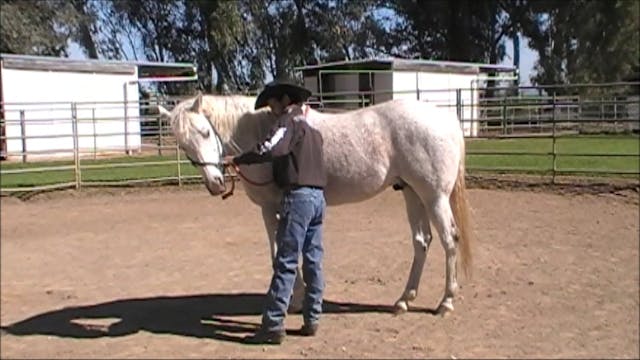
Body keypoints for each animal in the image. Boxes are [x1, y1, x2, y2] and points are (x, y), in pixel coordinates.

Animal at [158, 93, 472, 316]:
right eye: (183, 146)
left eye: (205, 132)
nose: (215, 184)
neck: (262, 132)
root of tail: (445, 118)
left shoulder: (271, 207)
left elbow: (279, 252)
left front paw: (292, 300)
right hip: (412, 193)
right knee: (422, 242)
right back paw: (404, 300)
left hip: (434, 197)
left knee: (449, 240)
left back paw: (446, 302)